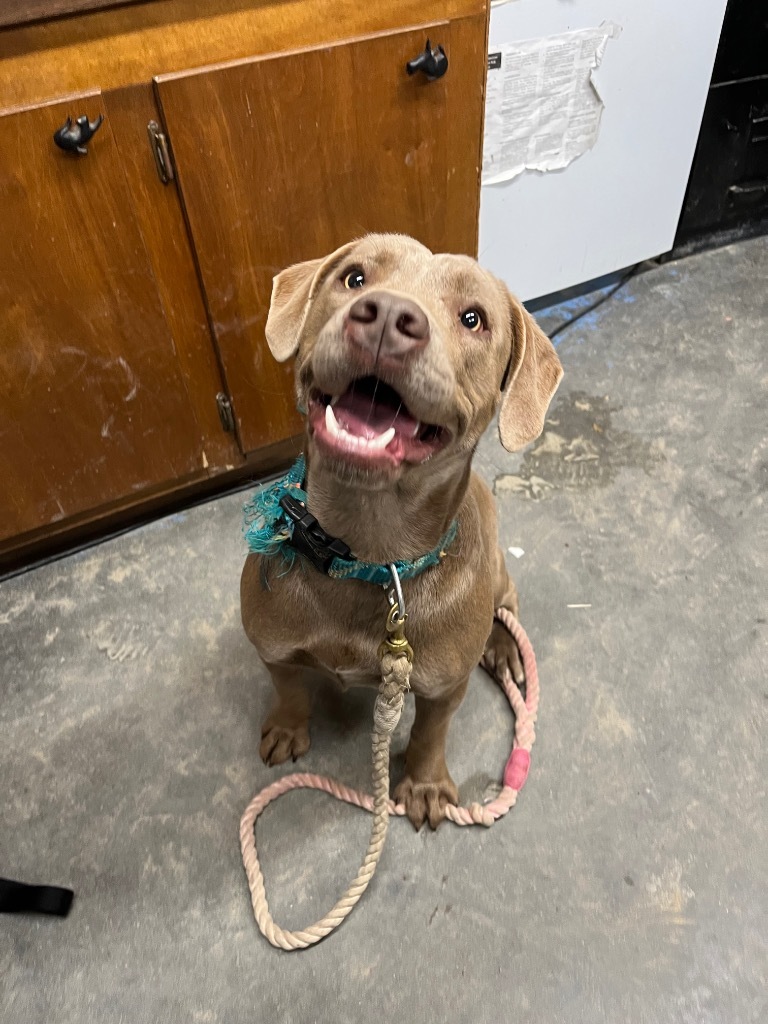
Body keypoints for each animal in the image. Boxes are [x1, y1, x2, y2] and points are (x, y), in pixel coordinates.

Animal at [241, 230, 565, 823]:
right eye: (354, 277)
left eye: (473, 318)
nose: (388, 316)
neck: (367, 550)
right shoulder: (272, 647)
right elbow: (289, 688)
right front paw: (287, 728)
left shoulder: (444, 687)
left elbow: (431, 731)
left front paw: (426, 783)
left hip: (498, 576)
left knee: (506, 606)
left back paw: (503, 647)